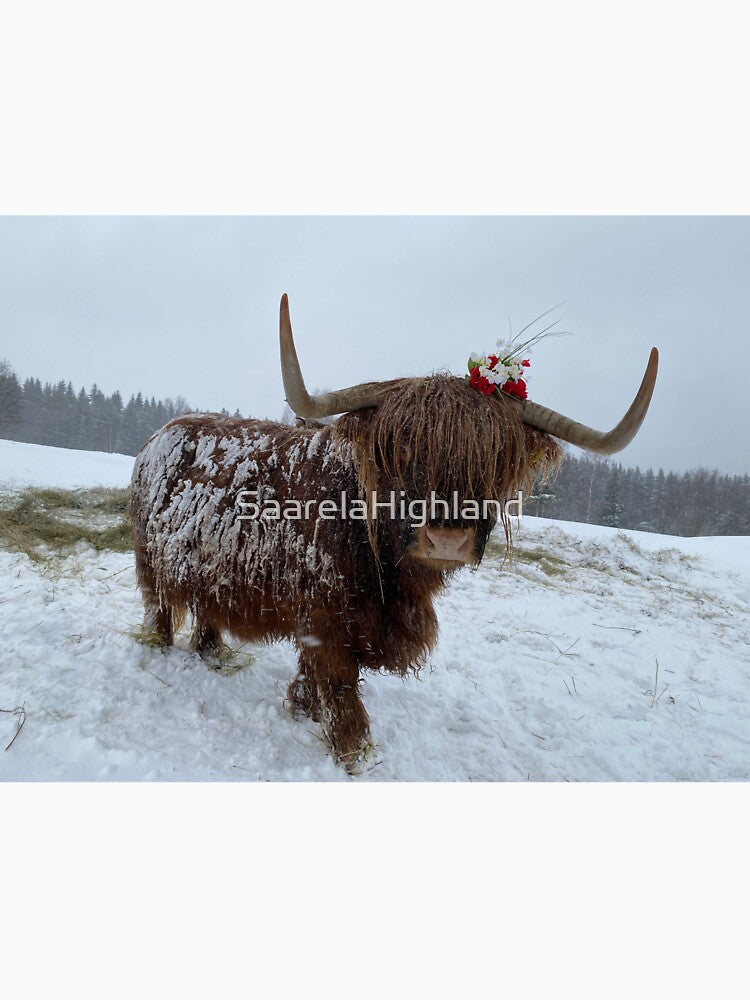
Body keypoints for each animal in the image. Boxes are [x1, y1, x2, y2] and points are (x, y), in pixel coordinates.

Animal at [130, 295, 658, 768]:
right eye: (402, 449)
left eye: (496, 459)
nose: (448, 540)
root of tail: (161, 434)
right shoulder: (326, 620)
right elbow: (341, 692)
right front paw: (351, 753)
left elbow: (310, 677)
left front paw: (300, 708)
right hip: (149, 561)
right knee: (160, 609)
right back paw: (160, 652)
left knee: (205, 610)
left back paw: (211, 654)